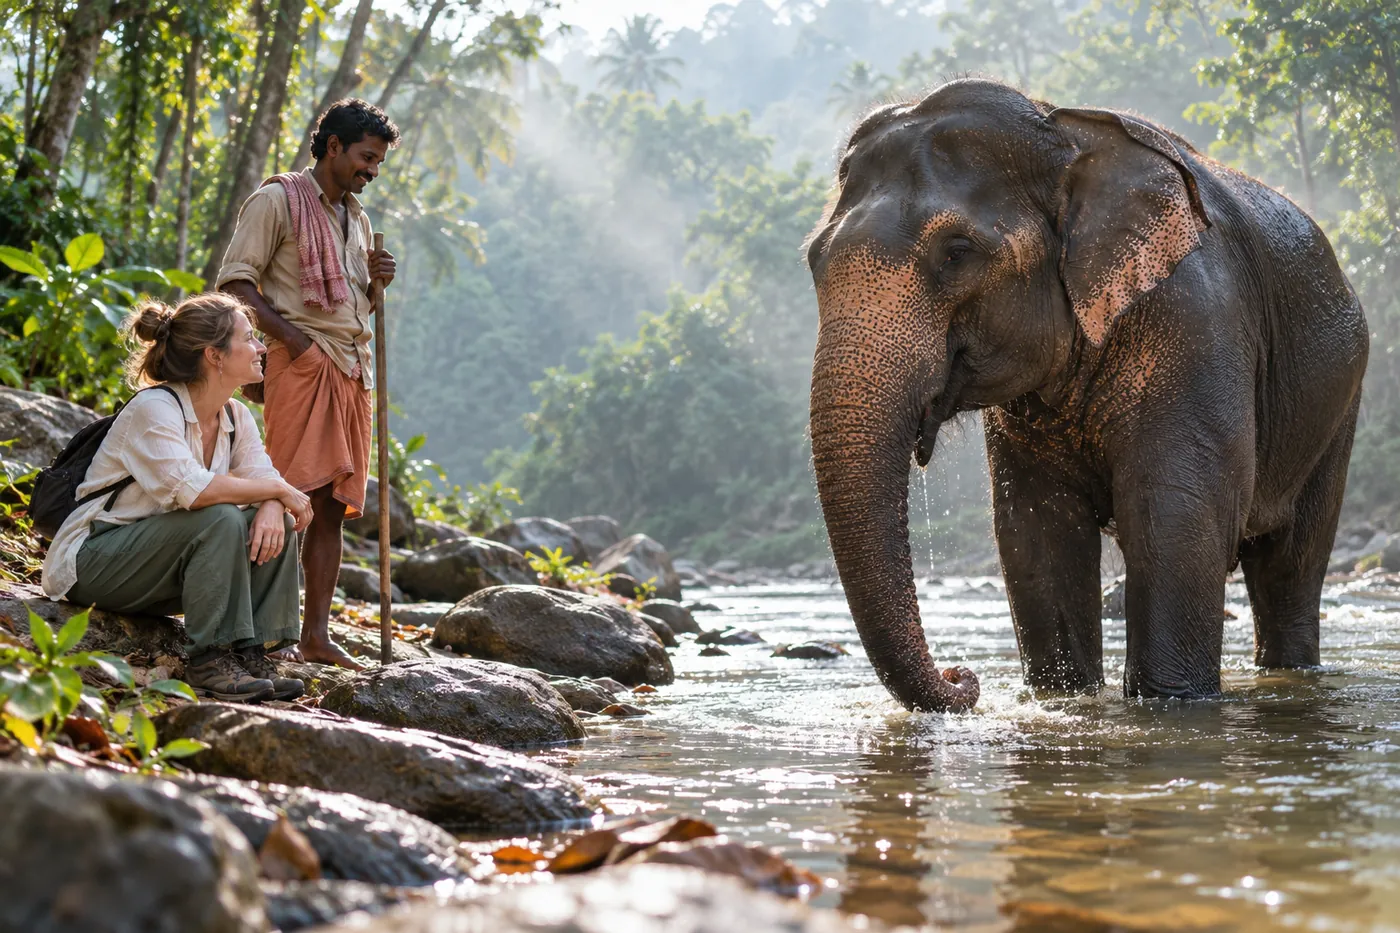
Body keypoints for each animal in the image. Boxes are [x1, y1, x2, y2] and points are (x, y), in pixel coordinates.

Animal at [806, 79, 1368, 711]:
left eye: (957, 252)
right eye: (814, 260)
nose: (963, 677)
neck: (1061, 132)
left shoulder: (1199, 322)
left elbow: (1176, 518)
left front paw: (1171, 703)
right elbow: (1036, 534)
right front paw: (1063, 699)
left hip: (1338, 405)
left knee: (1291, 563)